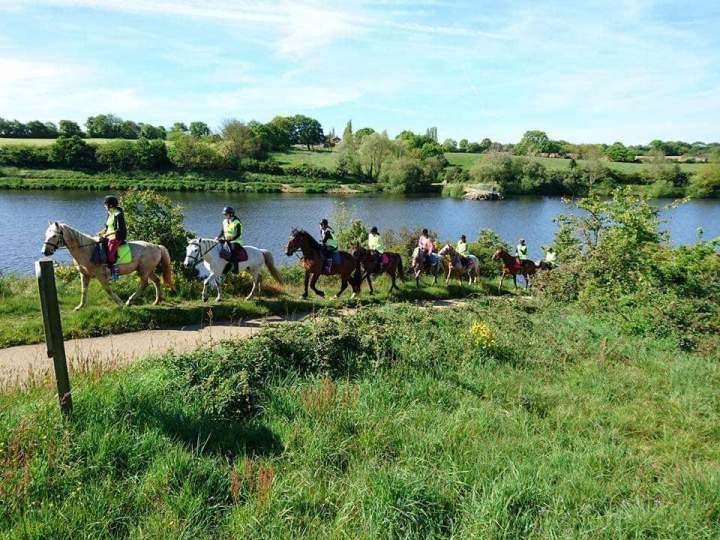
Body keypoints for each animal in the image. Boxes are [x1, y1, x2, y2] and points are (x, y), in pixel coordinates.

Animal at [41, 221, 173, 309]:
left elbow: (108, 289)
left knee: (144, 284)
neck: (87, 250)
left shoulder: (100, 275)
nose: (44, 252)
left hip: (143, 270)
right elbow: (84, 290)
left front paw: (120, 303)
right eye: (46, 234)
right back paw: (156, 301)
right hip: (147, 270)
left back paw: (129, 301)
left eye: (54, 236)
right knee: (156, 281)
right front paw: (80, 307)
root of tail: (157, 246)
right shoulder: (84, 275)